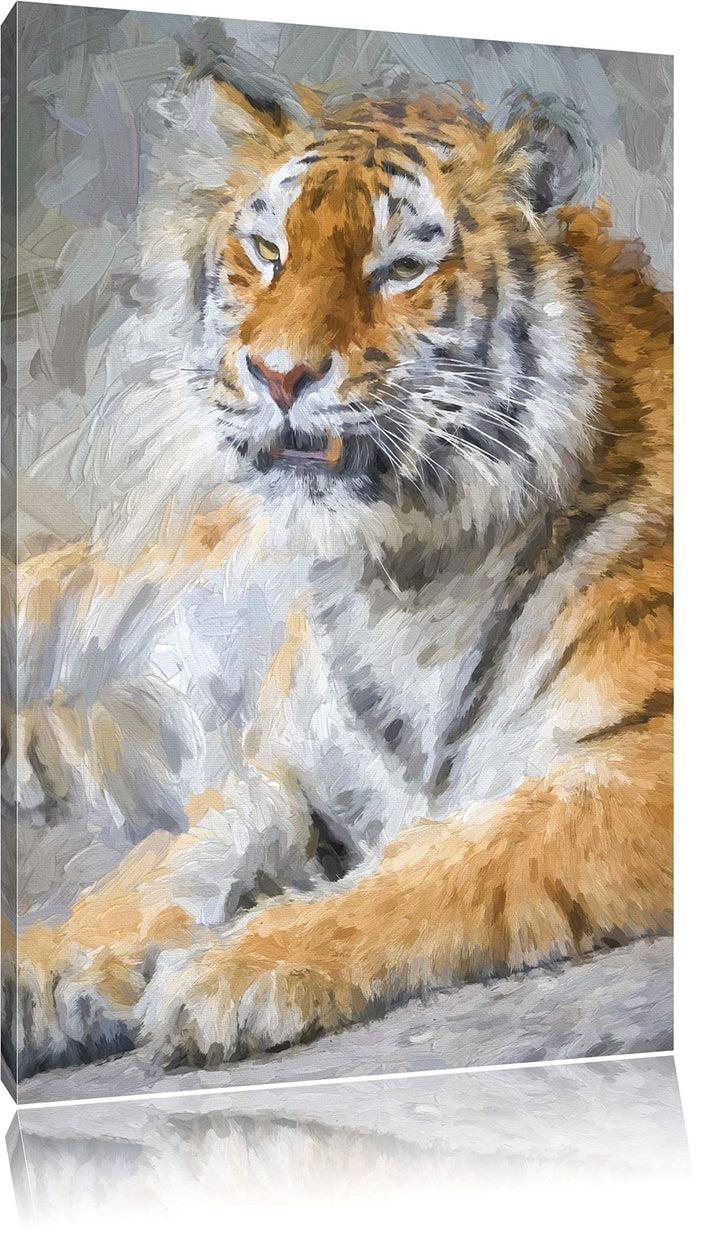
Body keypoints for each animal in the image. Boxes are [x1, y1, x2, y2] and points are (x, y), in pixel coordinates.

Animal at [1, 54, 672, 1080]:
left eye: (400, 268)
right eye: (267, 250)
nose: (280, 373)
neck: (407, 572)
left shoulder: (647, 762)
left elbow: (450, 861)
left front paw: (232, 973)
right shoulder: (278, 767)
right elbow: (178, 856)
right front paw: (49, 962)